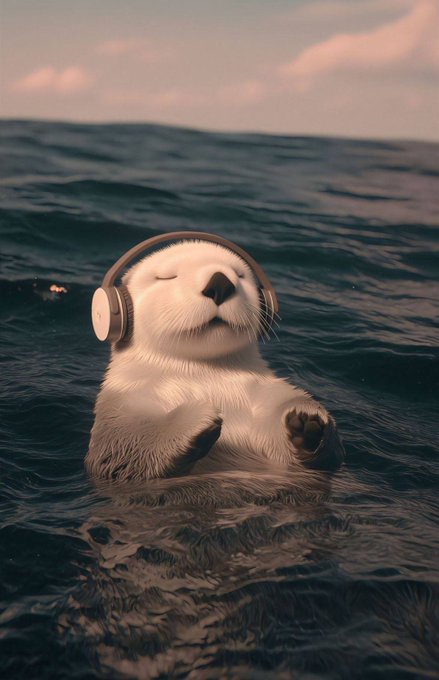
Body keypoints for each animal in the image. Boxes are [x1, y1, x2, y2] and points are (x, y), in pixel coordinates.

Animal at [86, 239, 344, 480]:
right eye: (166, 277)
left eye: (239, 274)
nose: (220, 283)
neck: (203, 371)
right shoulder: (122, 400)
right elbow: (122, 448)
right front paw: (196, 419)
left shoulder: (265, 392)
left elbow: (329, 452)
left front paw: (307, 422)